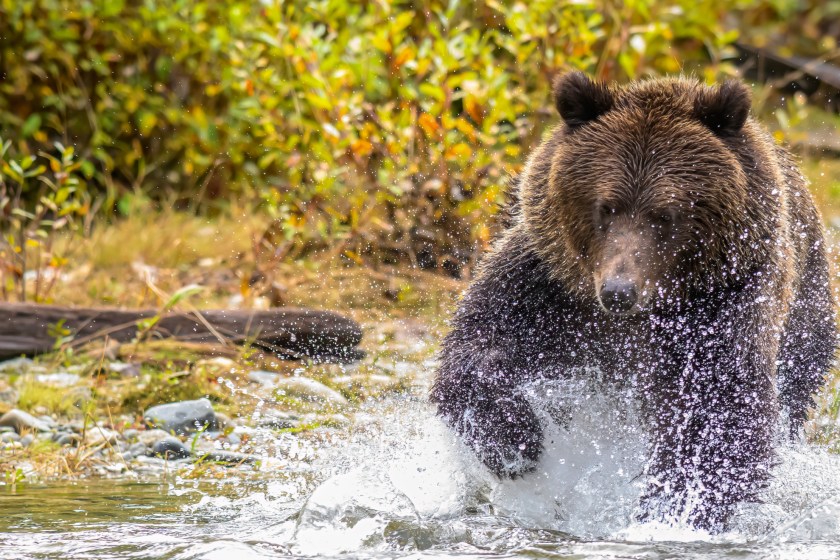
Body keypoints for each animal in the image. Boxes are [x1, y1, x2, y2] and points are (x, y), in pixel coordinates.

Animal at [430, 72, 836, 531]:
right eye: (606, 207)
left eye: (666, 214)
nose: (619, 291)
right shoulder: (549, 285)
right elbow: (478, 343)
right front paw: (514, 441)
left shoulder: (723, 305)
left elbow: (716, 413)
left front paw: (674, 510)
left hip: (805, 314)